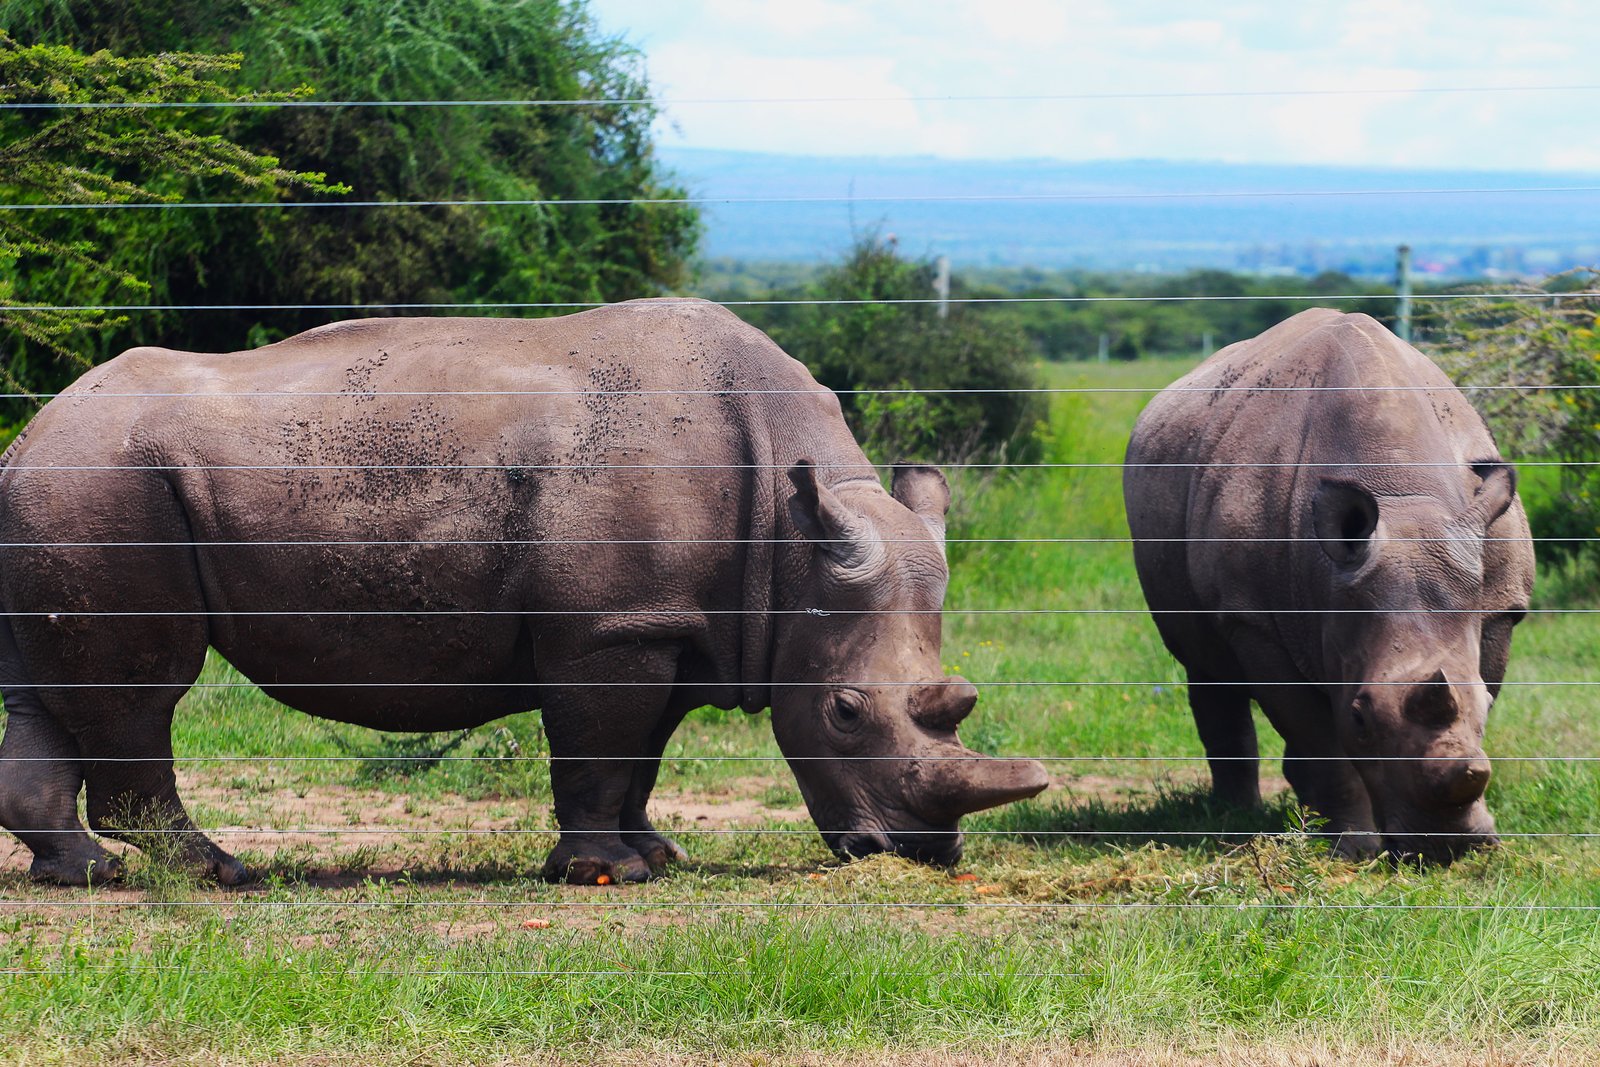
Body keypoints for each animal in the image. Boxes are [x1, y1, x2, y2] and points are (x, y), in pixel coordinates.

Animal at [0, 299, 1047, 886]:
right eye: (843, 712)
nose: (916, 854)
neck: (793, 546)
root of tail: (29, 433)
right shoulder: (612, 629)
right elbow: (598, 745)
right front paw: (605, 874)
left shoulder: (668, 623)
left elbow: (641, 754)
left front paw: (656, 856)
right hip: (104, 478)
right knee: (144, 689)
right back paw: (218, 873)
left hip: (64, 482)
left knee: (51, 689)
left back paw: (83, 875)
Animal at [1123, 308, 1534, 862]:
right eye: (1360, 716)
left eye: (1489, 713)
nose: (1445, 849)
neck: (1402, 490)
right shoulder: (1254, 618)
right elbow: (1319, 736)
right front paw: (1355, 850)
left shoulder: (1498, 607)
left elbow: (1475, 687)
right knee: (1206, 665)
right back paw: (1236, 817)